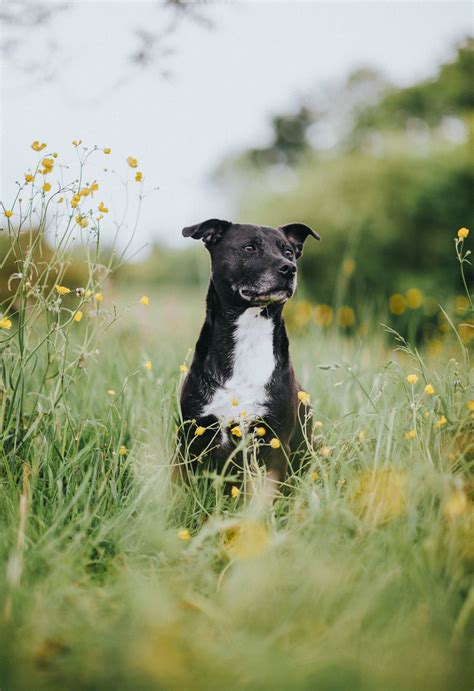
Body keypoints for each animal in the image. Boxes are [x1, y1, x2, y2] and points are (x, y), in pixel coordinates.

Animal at [180, 219, 320, 490]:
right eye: (249, 248)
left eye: (288, 251)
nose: (289, 268)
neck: (249, 336)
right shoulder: (192, 435)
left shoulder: (275, 441)